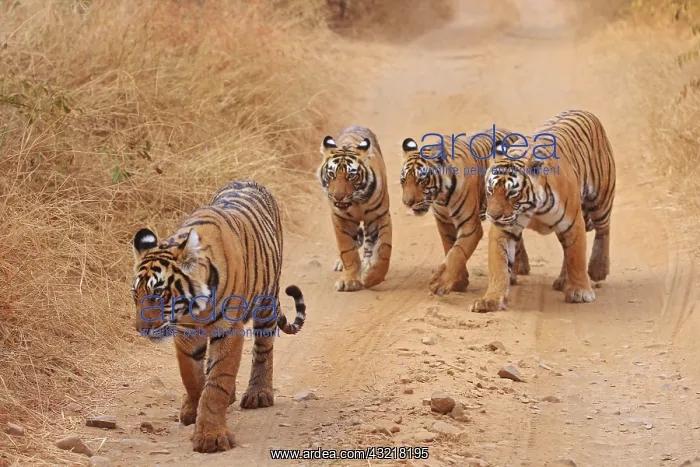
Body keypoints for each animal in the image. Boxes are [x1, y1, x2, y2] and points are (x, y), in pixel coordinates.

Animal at [131, 180, 307, 453]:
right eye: (135, 295)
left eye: (158, 293)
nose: (141, 329)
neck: (194, 307)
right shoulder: (186, 332)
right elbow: (192, 377)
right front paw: (192, 409)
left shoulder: (228, 329)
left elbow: (217, 383)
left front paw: (211, 437)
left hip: (266, 301)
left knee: (263, 349)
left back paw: (259, 394)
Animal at [318, 125, 392, 292]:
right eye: (331, 174)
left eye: (351, 176)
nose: (337, 197)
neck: (356, 201)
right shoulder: (341, 220)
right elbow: (347, 251)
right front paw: (350, 281)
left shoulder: (380, 217)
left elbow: (383, 248)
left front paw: (372, 278)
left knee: (369, 245)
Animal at [399, 128, 531, 295]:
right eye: (404, 181)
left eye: (421, 180)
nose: (407, 203)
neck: (442, 197)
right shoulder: (444, 222)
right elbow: (450, 248)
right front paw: (459, 282)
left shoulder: (470, 226)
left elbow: (457, 252)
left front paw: (441, 283)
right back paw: (522, 268)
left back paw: (514, 274)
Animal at [469, 109, 616, 313]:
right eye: (490, 189)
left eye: (512, 193)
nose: (493, 216)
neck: (533, 209)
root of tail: (583, 111)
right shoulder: (504, 228)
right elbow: (499, 265)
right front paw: (490, 300)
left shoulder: (573, 222)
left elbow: (576, 258)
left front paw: (580, 292)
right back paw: (563, 281)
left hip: (601, 199)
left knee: (603, 230)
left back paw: (598, 269)